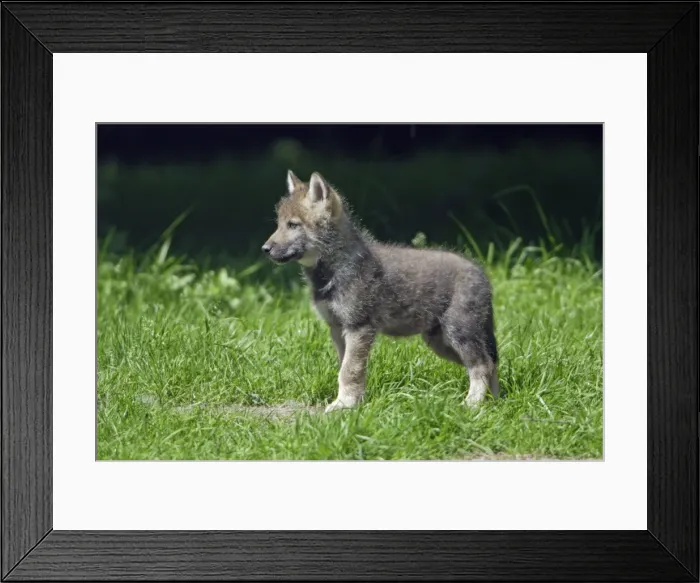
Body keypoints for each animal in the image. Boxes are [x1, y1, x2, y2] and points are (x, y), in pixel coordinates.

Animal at [262, 170, 499, 413]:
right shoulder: (337, 329)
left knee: (482, 365)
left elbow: (349, 371)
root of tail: (481, 273)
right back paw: (495, 403)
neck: (334, 269)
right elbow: (345, 369)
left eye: (293, 225)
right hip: (440, 342)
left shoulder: (359, 328)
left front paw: (344, 405)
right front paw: (351, 401)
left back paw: (472, 404)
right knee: (490, 364)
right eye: (279, 224)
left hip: (459, 333)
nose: (265, 249)